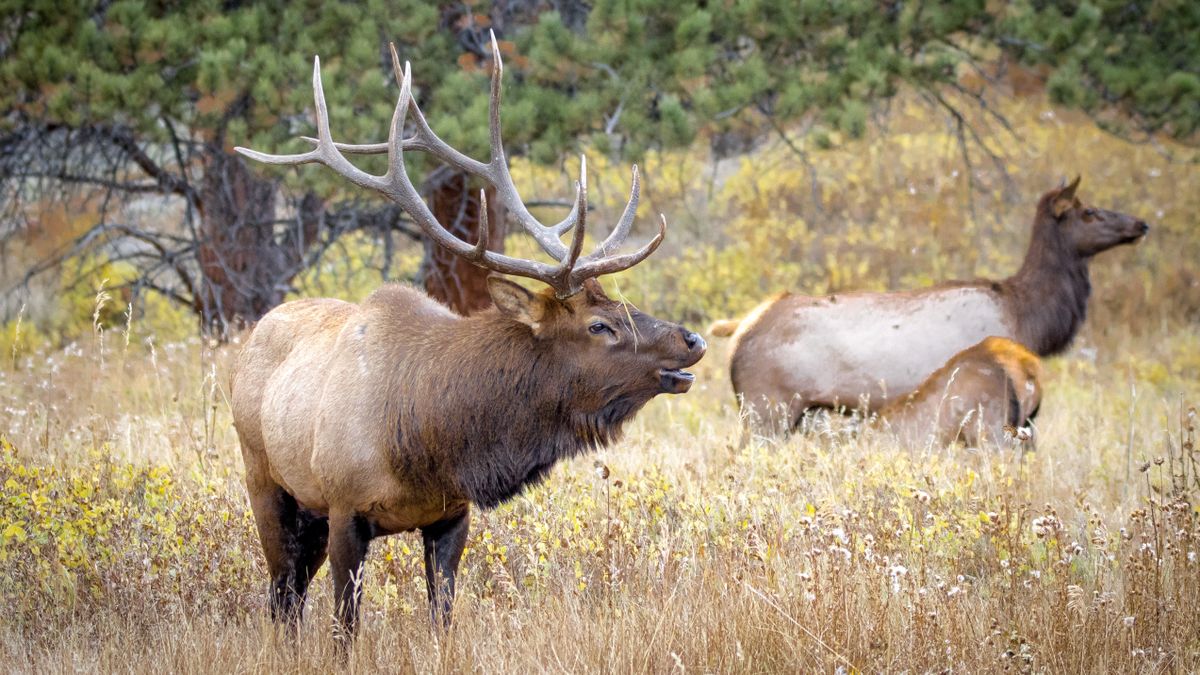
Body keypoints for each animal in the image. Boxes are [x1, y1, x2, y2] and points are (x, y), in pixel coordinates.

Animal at [229, 35, 705, 638]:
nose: (692, 340)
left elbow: (443, 619)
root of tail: (253, 336)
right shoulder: (344, 508)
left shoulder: (451, 515)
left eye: (627, 306)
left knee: (288, 596)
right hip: (267, 483)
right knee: (281, 595)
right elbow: (345, 627)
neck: (430, 438)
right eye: (599, 325)